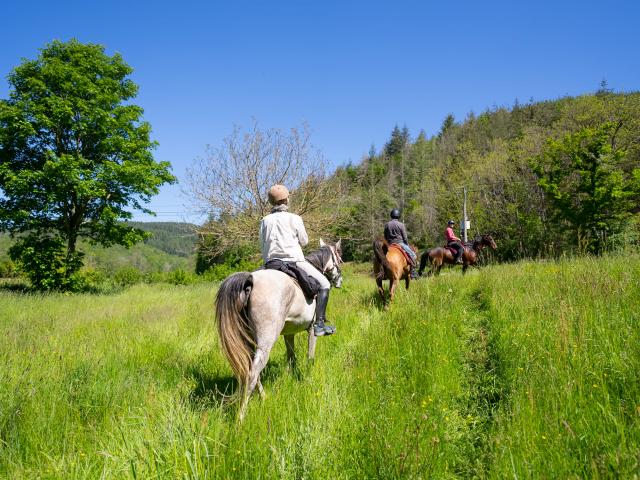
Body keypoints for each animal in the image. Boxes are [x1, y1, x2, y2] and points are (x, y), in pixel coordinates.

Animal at [215, 240, 342, 420]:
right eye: (340, 257)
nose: (339, 281)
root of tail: (250, 281)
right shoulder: (311, 330)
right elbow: (310, 356)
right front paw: (308, 379)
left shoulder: (289, 333)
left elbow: (291, 357)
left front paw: (292, 377)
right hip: (266, 342)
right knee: (253, 373)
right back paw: (241, 417)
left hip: (250, 340)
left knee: (251, 370)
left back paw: (264, 398)